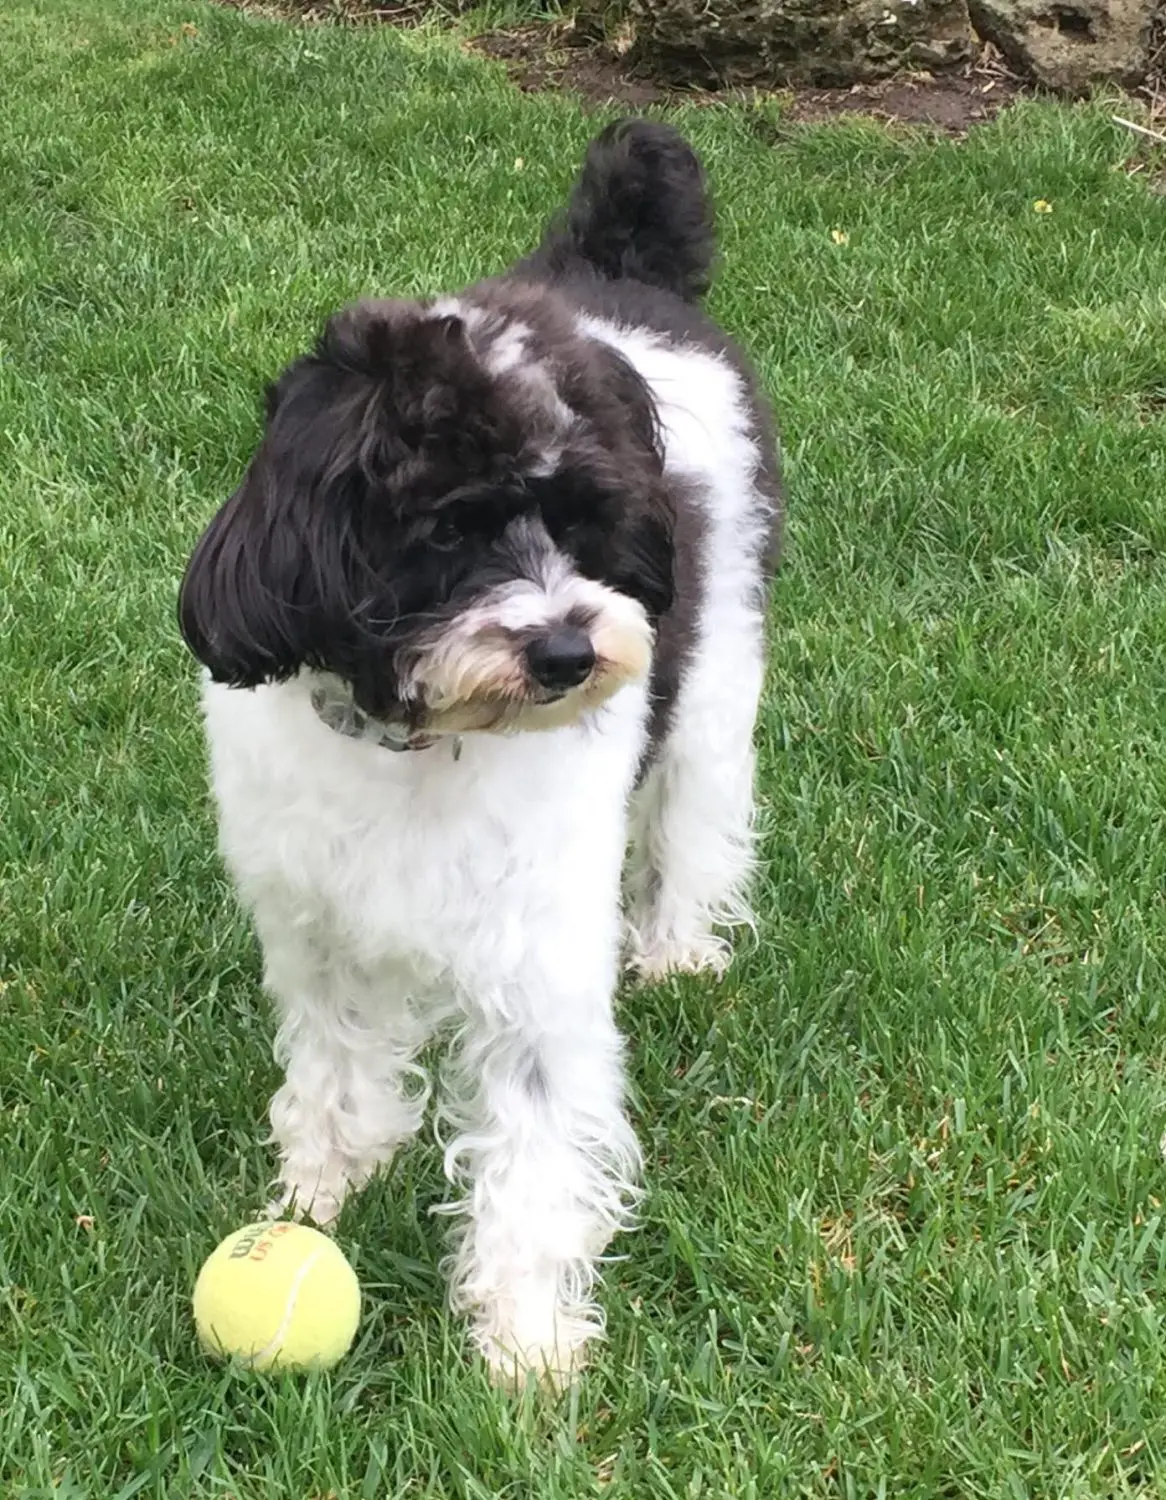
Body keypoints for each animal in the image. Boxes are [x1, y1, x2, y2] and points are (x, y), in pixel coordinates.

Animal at [179, 117, 780, 1380]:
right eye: (445, 531)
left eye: (587, 522)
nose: (565, 648)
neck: (421, 747)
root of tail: (611, 270)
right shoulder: (314, 930)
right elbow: (336, 1063)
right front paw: (324, 1184)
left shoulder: (538, 964)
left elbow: (536, 1149)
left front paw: (524, 1343)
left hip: (716, 673)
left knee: (698, 811)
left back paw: (679, 947)